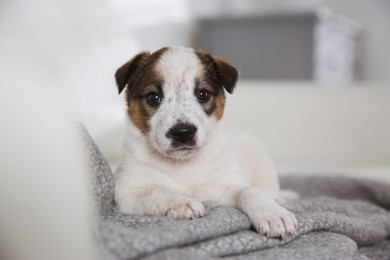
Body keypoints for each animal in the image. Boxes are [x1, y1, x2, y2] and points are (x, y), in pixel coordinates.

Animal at [114, 46, 298, 238]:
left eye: (202, 94)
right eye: (153, 97)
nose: (183, 133)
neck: (182, 165)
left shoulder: (223, 186)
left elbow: (248, 191)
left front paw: (272, 213)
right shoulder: (127, 193)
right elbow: (155, 191)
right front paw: (182, 203)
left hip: (256, 150)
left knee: (268, 188)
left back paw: (277, 200)